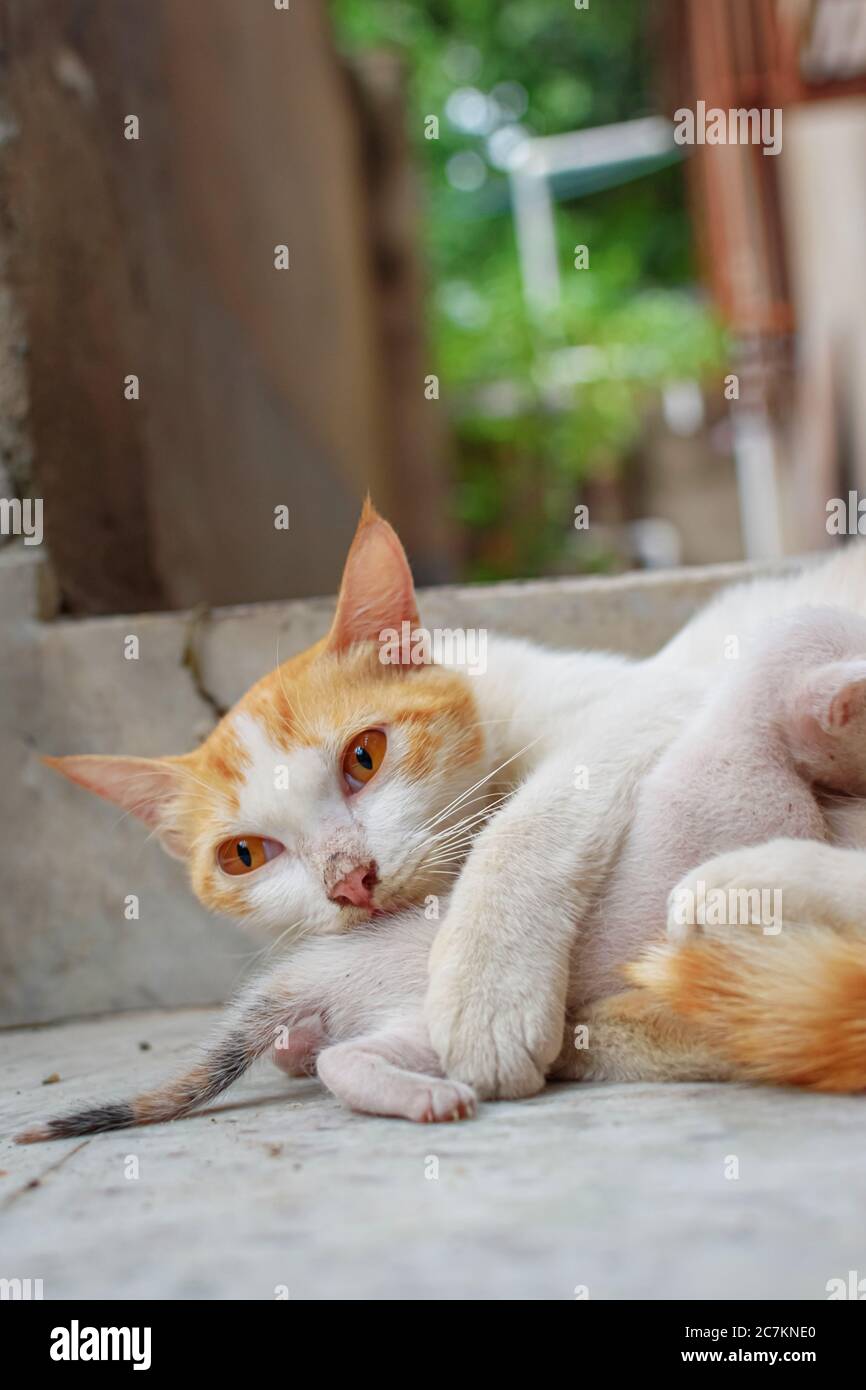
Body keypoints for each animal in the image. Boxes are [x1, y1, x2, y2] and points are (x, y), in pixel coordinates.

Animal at [18, 503, 866, 1139]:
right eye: (246, 856)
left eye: (364, 757)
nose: (349, 881)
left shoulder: (647, 705)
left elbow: (523, 826)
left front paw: (486, 994)